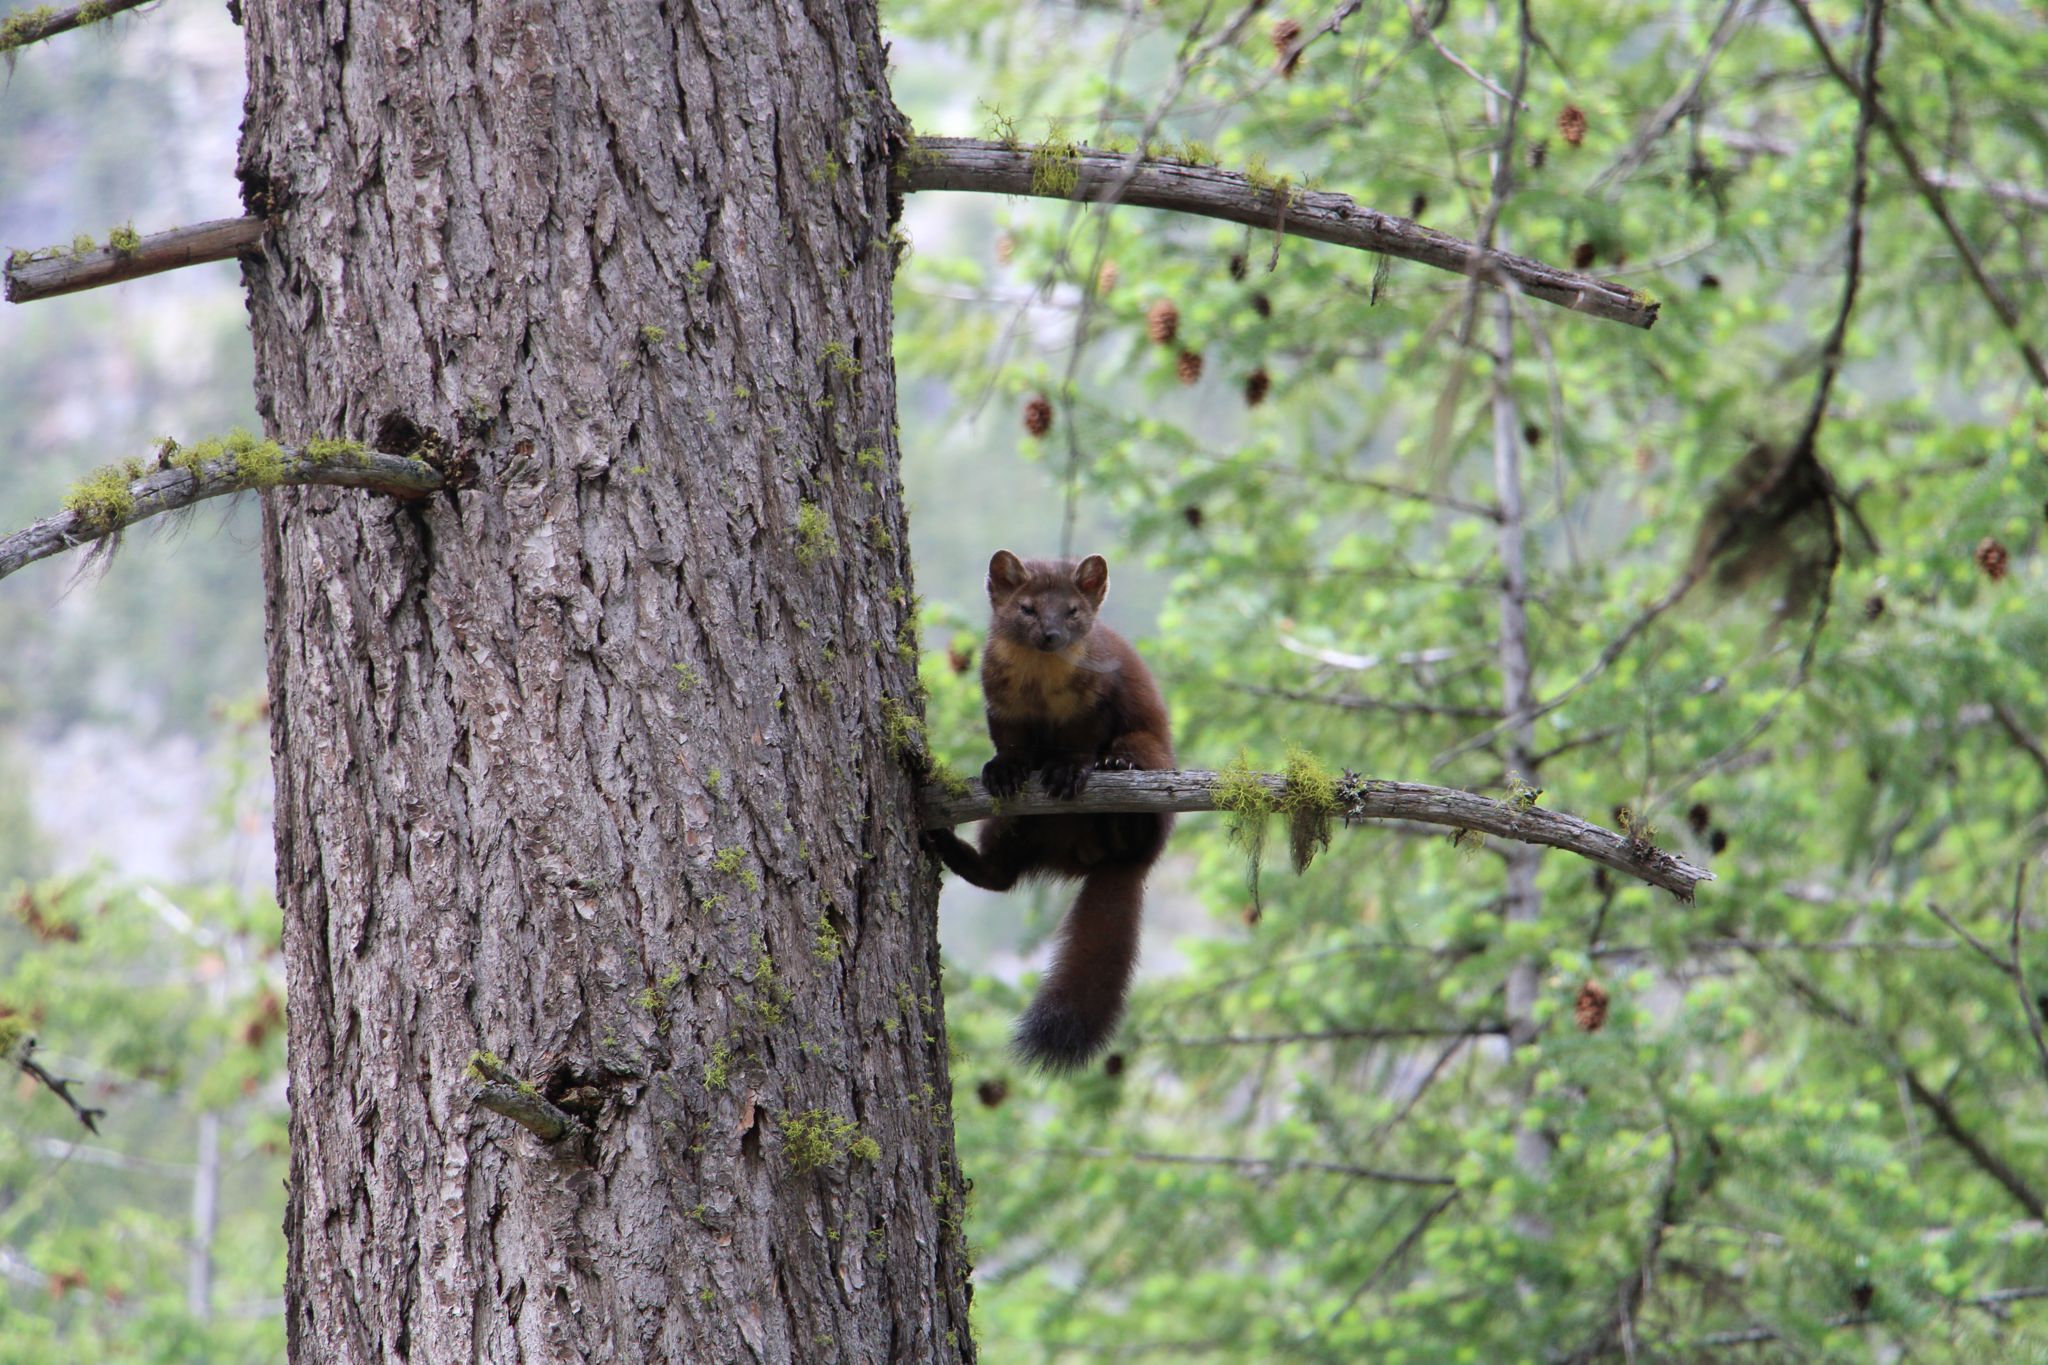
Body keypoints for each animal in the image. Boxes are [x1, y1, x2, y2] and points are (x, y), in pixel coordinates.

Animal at [924, 550, 1175, 1070]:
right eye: (1027, 608)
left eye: (1072, 610)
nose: (1051, 634)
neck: (1040, 694)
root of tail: (1121, 860)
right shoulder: (1000, 708)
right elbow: (1010, 746)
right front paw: (1002, 771)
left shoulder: (1097, 702)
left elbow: (1080, 745)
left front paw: (1067, 772)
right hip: (1011, 829)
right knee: (1000, 874)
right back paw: (944, 841)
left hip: (1151, 751)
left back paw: (1119, 774)